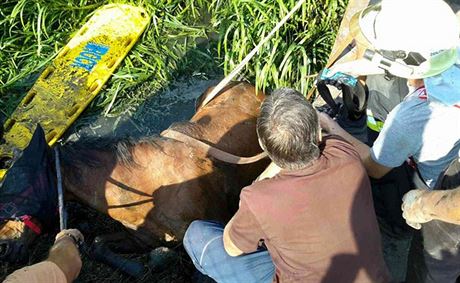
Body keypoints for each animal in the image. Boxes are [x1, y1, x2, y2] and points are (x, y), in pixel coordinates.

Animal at [0, 82, 270, 276]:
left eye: (15, 188)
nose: (4, 246)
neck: (149, 191)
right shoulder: (140, 237)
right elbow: (97, 243)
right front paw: (140, 267)